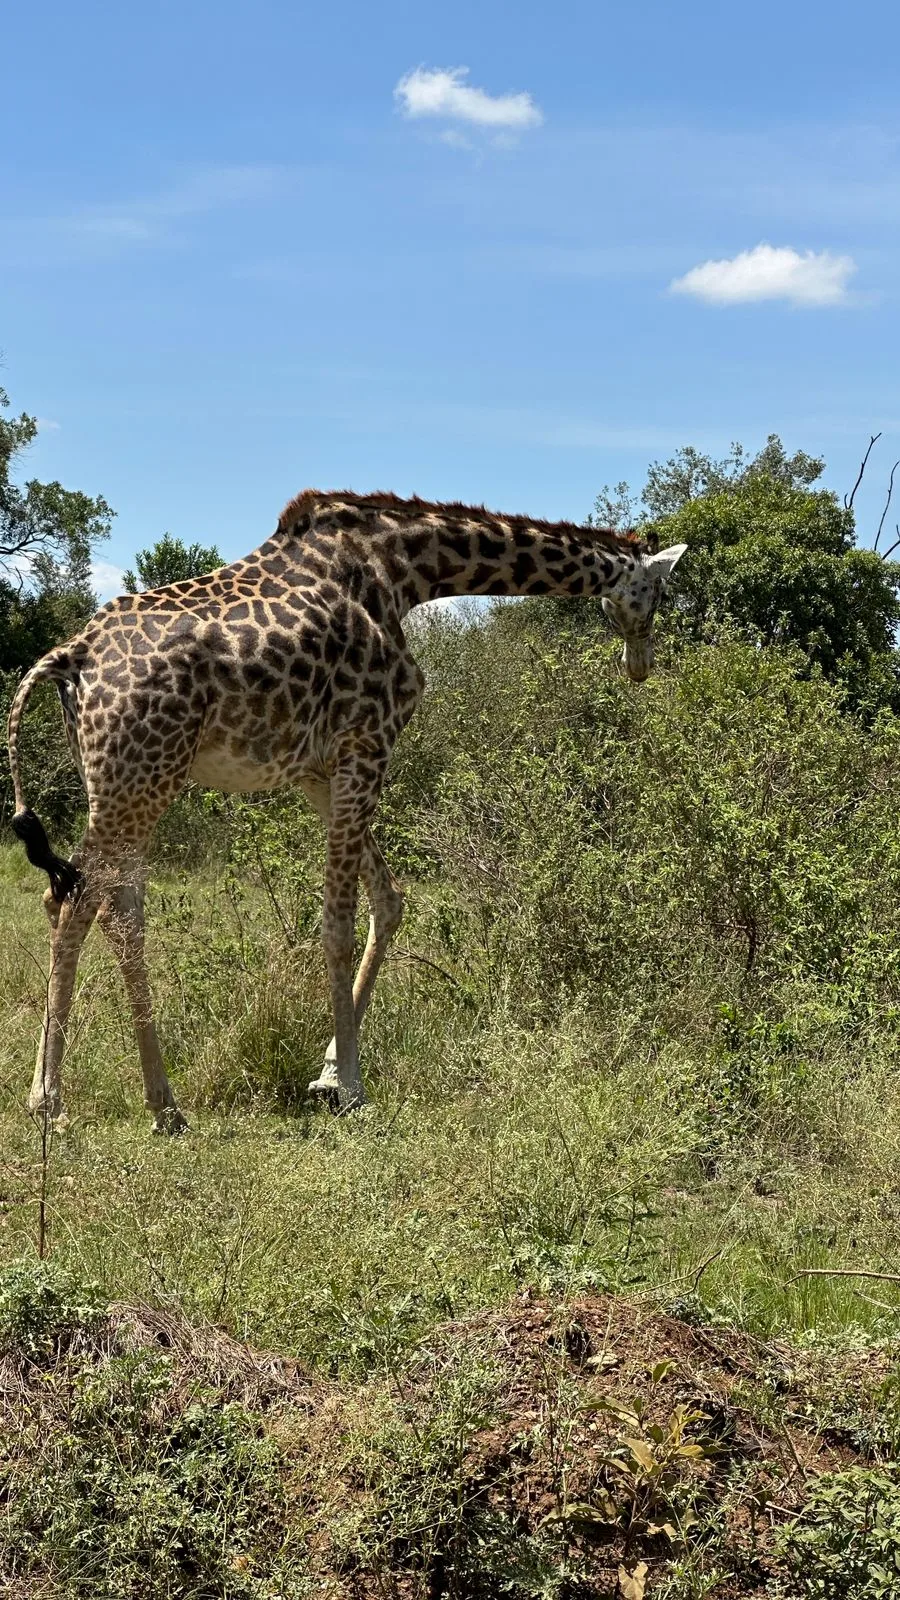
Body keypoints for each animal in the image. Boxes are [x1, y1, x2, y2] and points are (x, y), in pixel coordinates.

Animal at [7, 490, 686, 1128]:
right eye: (656, 592)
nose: (641, 664)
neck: (408, 573)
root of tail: (70, 657)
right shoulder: (369, 740)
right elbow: (337, 923)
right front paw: (352, 1088)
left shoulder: (318, 768)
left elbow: (390, 899)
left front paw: (330, 1070)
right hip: (141, 778)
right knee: (84, 904)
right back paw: (56, 1099)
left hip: (123, 780)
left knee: (98, 904)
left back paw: (157, 1103)